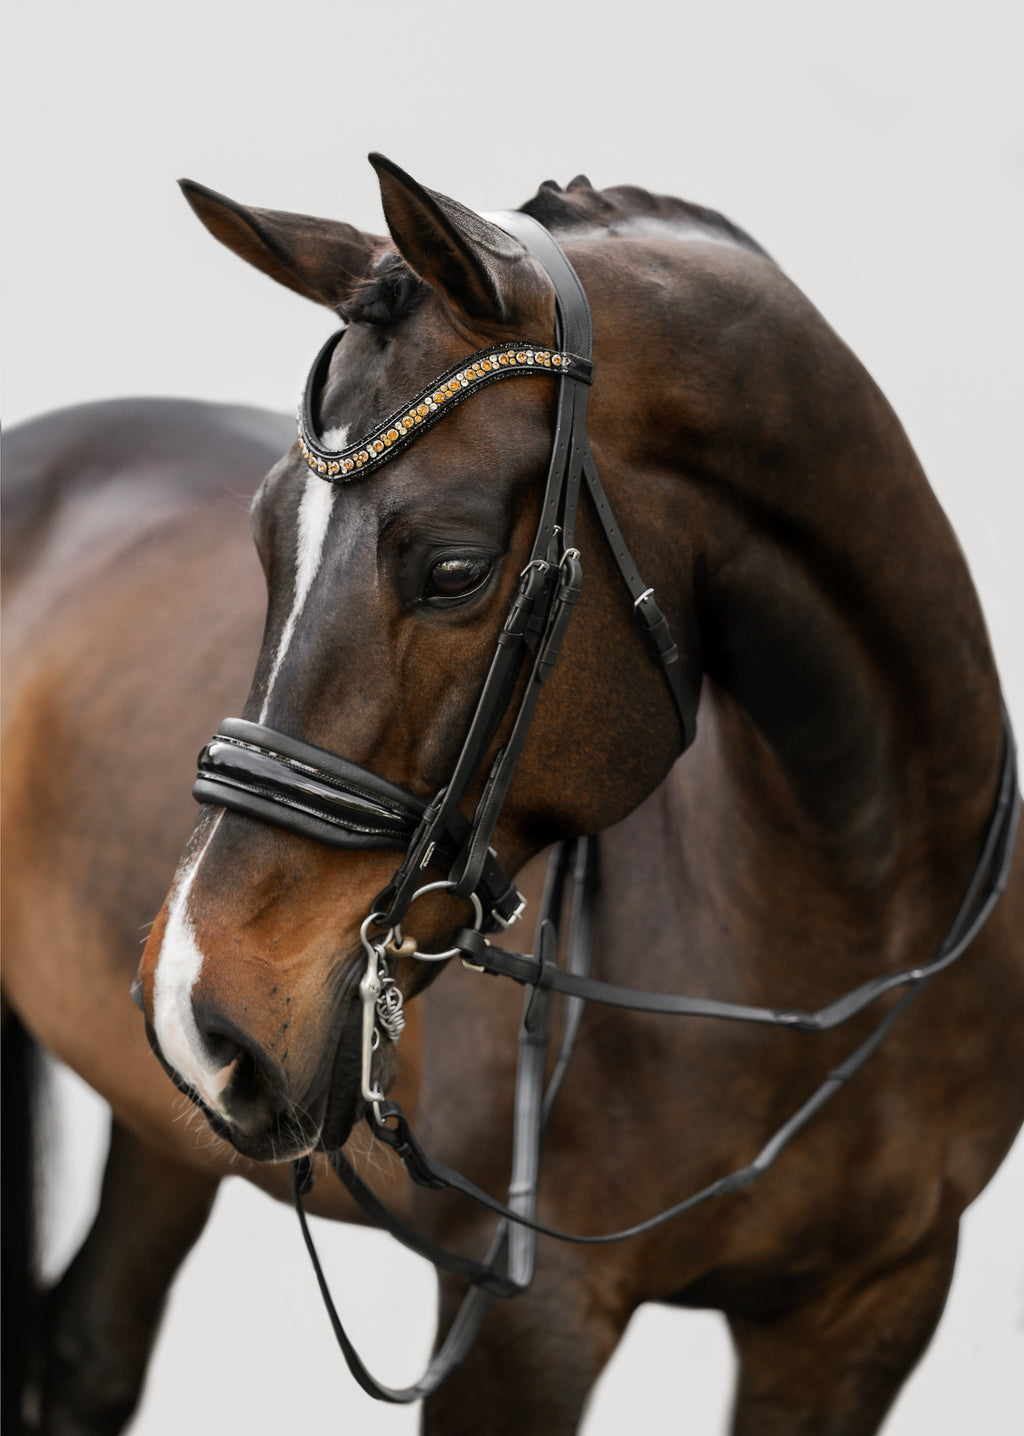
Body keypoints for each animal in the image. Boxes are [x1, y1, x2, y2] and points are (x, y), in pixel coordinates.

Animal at [3, 154, 1021, 1436]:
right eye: (262, 538)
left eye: (453, 568)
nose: (202, 1004)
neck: (853, 900)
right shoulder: (520, 1325)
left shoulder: (866, 1312)